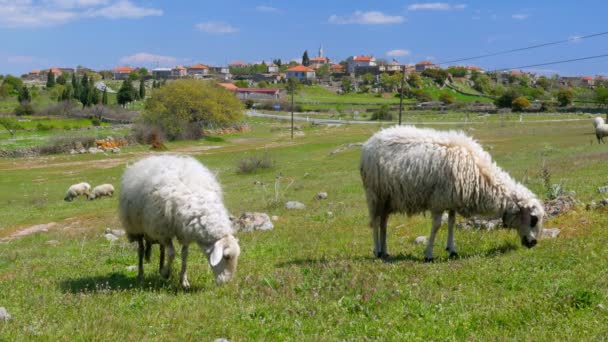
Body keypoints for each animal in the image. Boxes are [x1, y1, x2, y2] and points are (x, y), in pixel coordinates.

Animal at [117, 156, 241, 288]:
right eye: (226, 257)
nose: (226, 282)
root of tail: (148, 158)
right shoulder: (164, 232)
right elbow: (172, 253)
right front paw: (166, 273)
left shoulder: (184, 231)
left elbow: (184, 255)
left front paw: (183, 280)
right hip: (137, 227)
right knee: (141, 250)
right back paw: (141, 274)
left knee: (161, 249)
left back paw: (160, 268)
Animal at [360, 126, 548, 262]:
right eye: (533, 219)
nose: (533, 243)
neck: (480, 176)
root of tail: (370, 142)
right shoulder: (438, 200)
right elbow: (437, 226)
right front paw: (428, 254)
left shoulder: (451, 200)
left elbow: (451, 223)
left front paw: (451, 250)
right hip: (375, 194)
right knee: (375, 222)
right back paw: (377, 250)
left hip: (388, 198)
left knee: (383, 222)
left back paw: (385, 251)